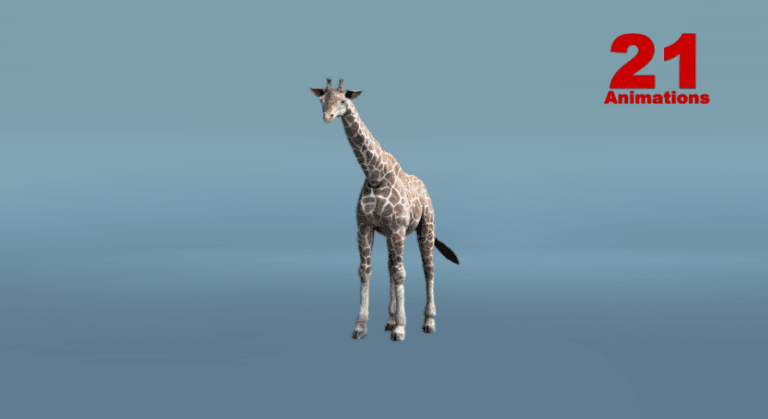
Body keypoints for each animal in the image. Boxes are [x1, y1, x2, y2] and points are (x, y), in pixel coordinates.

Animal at [310, 78, 459, 342]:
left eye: (343, 100)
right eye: (322, 100)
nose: (328, 116)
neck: (374, 174)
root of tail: (425, 189)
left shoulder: (398, 228)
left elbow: (401, 273)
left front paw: (401, 329)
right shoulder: (365, 227)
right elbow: (366, 271)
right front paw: (361, 327)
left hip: (426, 227)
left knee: (428, 268)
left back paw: (428, 321)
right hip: (392, 235)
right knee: (391, 267)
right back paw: (389, 320)